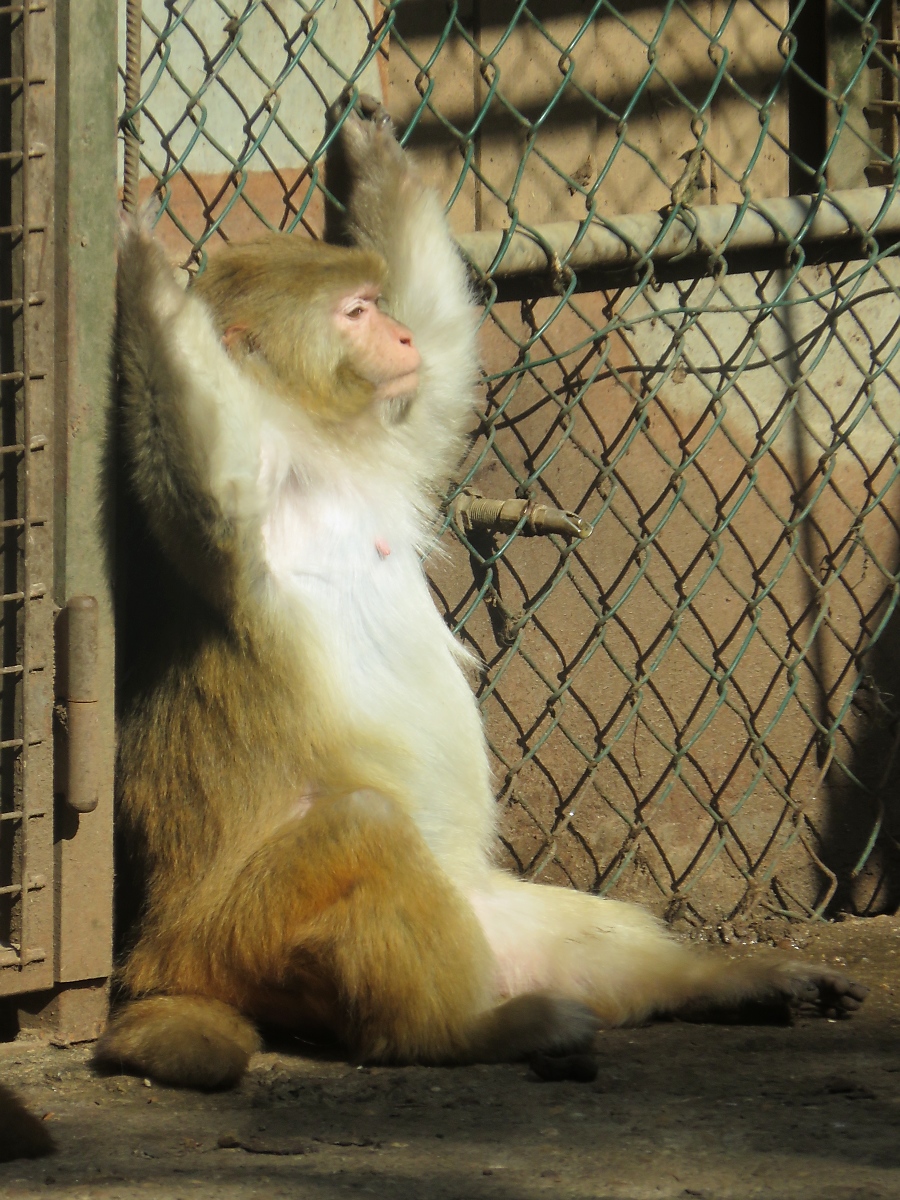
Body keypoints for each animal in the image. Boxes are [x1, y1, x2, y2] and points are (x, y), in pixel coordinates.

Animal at [95, 98, 868, 1094]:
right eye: (355, 311)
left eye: (381, 309)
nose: (393, 337)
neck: (316, 442)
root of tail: (159, 949)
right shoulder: (247, 496)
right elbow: (199, 477)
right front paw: (145, 273)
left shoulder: (387, 441)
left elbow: (444, 367)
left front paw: (368, 152)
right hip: (233, 934)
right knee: (364, 832)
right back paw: (459, 1033)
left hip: (483, 920)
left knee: (575, 926)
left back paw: (722, 986)